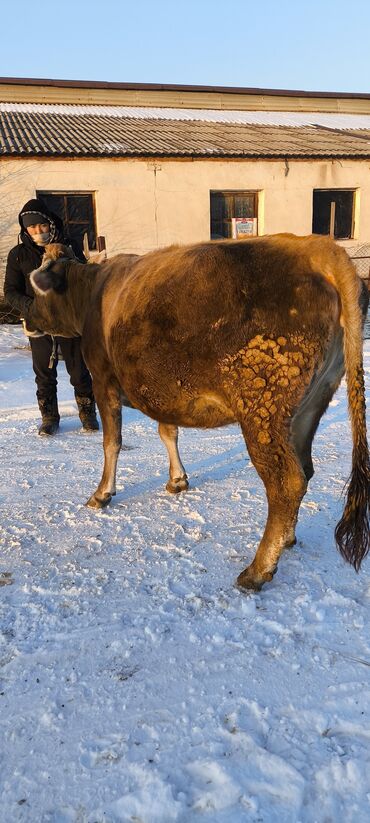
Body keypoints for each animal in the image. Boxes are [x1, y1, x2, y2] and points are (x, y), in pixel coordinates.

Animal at [28, 233, 370, 592]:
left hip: (262, 408)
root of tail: (318, 248)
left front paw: (102, 493)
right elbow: (167, 431)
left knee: (286, 482)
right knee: (304, 468)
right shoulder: (159, 390)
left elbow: (112, 442)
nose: (23, 317)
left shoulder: (102, 379)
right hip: (310, 403)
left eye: (36, 291)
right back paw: (286, 540)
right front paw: (177, 479)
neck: (92, 290)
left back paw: (258, 569)